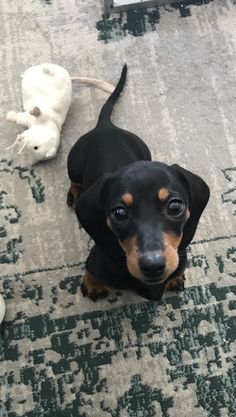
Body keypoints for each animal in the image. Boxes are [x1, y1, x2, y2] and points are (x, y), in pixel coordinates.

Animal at [67, 64, 209, 300]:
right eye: (119, 213)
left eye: (175, 207)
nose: (153, 266)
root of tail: (106, 126)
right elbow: (90, 271)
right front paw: (92, 284)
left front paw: (176, 278)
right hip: (74, 163)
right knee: (74, 180)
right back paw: (74, 192)